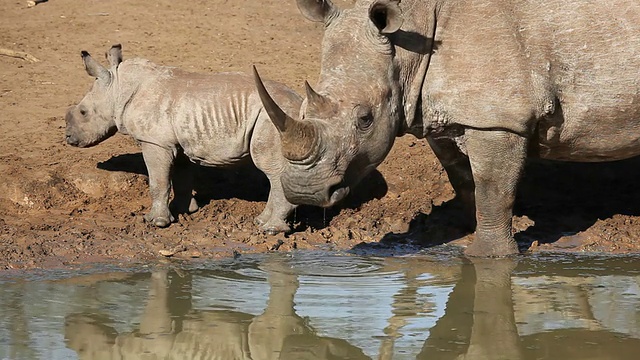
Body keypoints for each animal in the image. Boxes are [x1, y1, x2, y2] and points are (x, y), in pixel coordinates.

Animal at [65, 44, 302, 233]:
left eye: (83, 113)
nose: (68, 138)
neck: (117, 88)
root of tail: (300, 104)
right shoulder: (175, 141)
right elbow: (181, 176)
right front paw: (186, 210)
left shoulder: (154, 141)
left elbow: (158, 182)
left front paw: (156, 222)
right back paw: (260, 221)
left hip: (272, 120)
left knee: (271, 168)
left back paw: (271, 229)